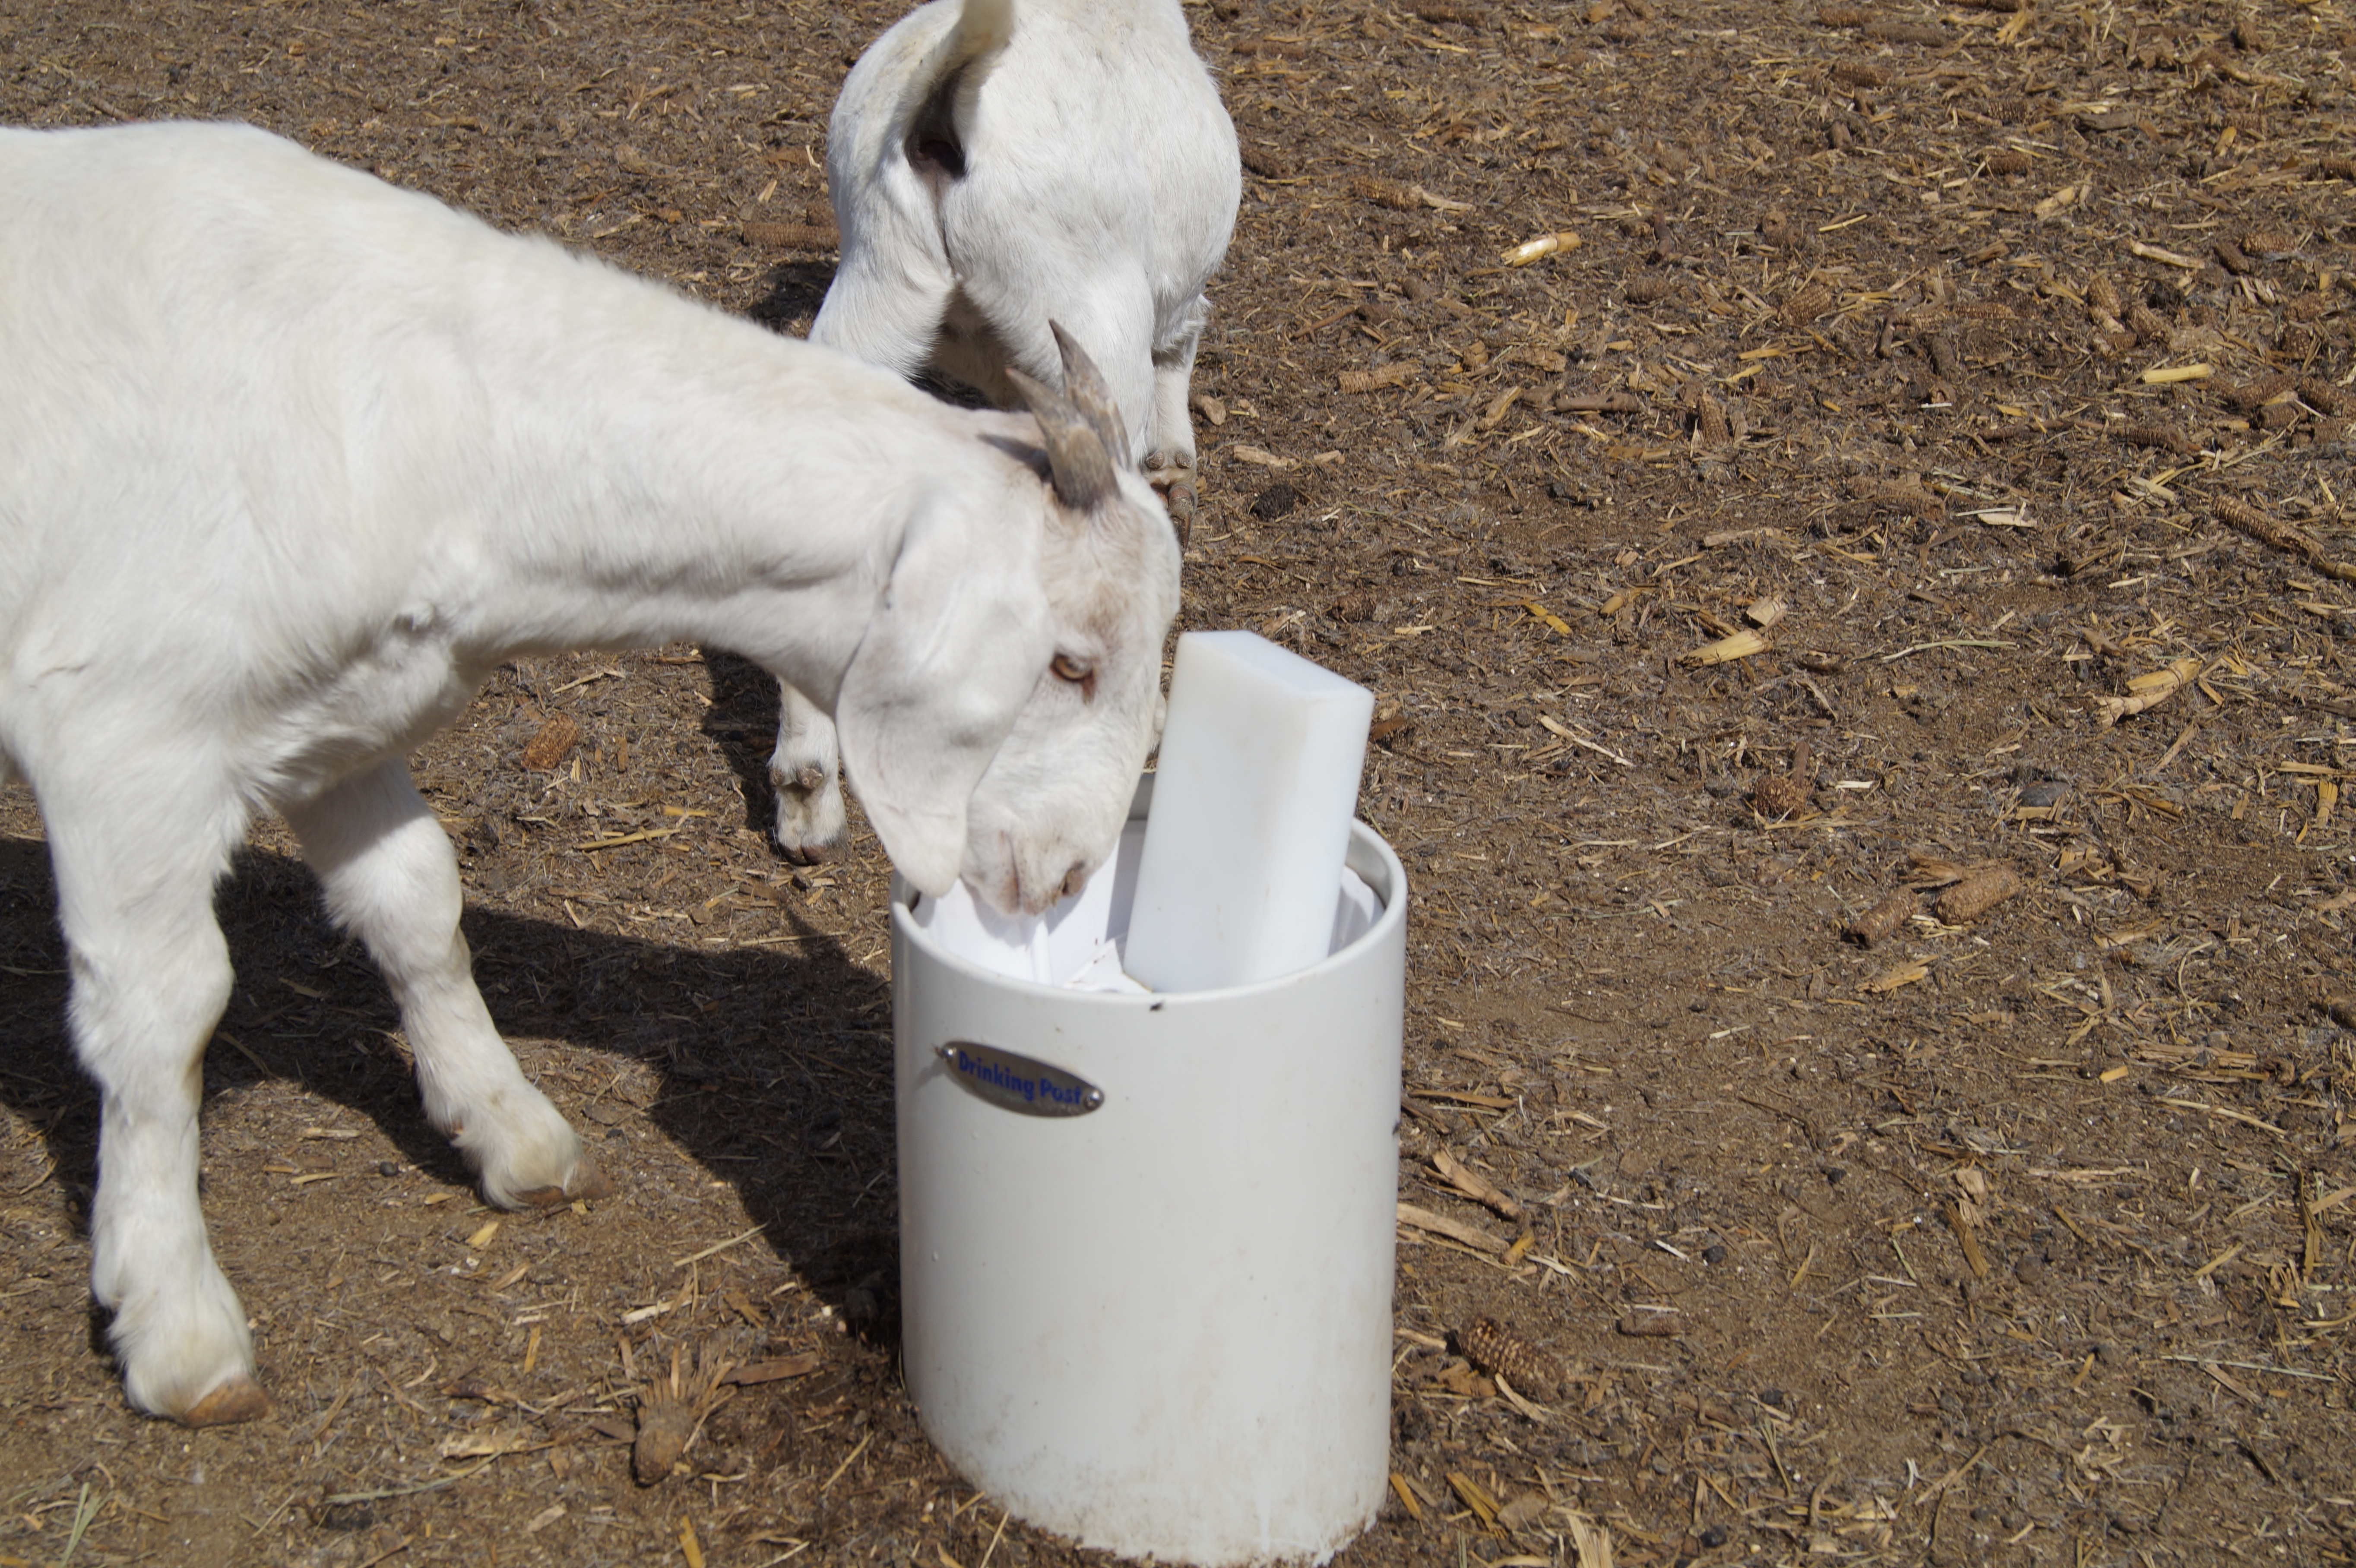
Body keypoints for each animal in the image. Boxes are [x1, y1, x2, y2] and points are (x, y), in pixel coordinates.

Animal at [0, 119, 1178, 1413]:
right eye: (1070, 663)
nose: (1064, 873)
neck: (432, 422)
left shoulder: (336, 713)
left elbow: (414, 900)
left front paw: (509, 1131)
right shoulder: (122, 738)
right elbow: (164, 1010)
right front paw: (175, 1320)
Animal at [768, 0, 1253, 861]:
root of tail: (946, 94)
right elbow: (1182, 343)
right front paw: (1176, 469)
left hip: (871, 303)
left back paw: (807, 795)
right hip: (1084, 320)